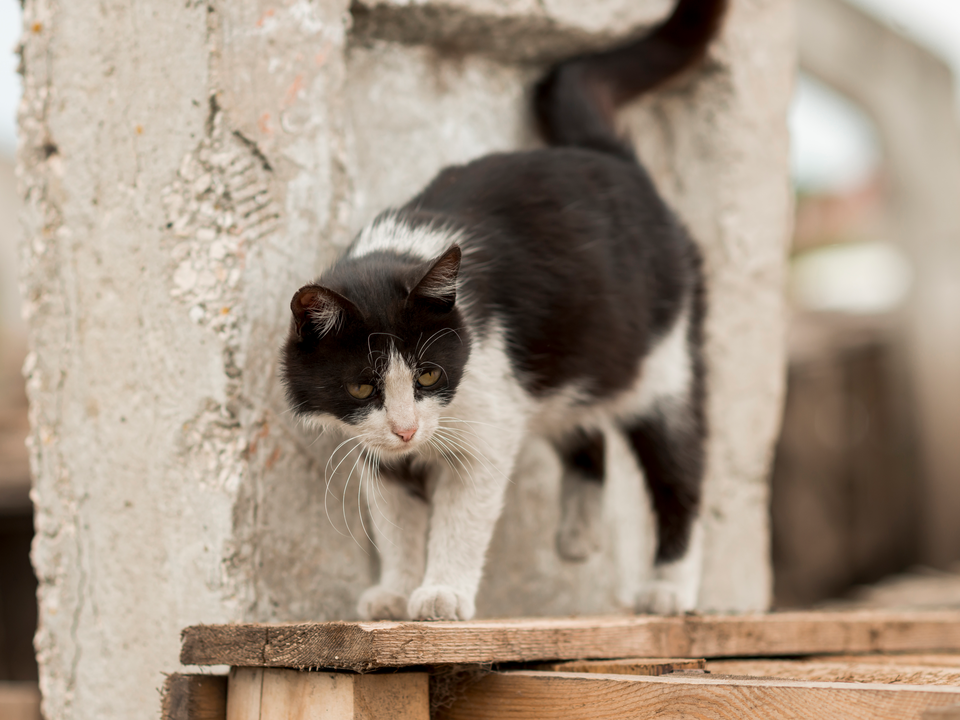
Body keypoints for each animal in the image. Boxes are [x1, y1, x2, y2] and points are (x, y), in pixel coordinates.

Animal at [282, 0, 724, 620]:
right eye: (363, 387)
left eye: (429, 374)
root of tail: (614, 160)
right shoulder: (377, 448)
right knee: (583, 427)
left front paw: (441, 593)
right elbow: (394, 521)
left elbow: (461, 517)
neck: (402, 250)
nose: (406, 428)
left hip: (664, 361)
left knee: (679, 470)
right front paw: (395, 591)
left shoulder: (487, 415)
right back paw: (579, 535)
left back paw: (669, 588)